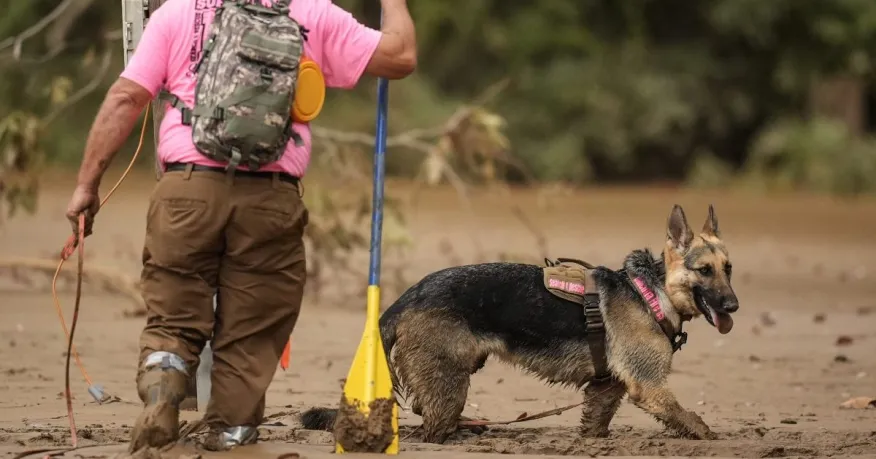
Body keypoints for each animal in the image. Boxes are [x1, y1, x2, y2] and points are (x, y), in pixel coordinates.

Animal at [302, 207, 740, 444]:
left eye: (728, 269)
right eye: (704, 271)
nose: (734, 305)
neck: (652, 291)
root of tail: (406, 297)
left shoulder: (606, 389)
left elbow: (595, 422)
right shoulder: (648, 388)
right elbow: (692, 420)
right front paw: (713, 438)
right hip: (450, 384)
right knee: (429, 429)